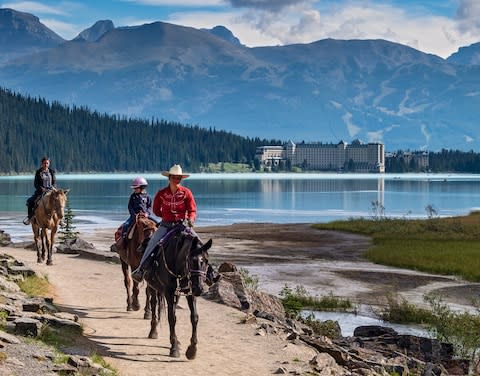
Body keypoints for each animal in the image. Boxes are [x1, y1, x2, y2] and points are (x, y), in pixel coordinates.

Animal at [144, 225, 212, 360]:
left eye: (206, 261)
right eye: (191, 260)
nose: (199, 289)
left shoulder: (190, 293)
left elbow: (194, 317)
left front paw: (192, 350)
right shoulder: (169, 292)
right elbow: (172, 318)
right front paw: (174, 347)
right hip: (152, 286)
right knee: (153, 304)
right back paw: (153, 331)